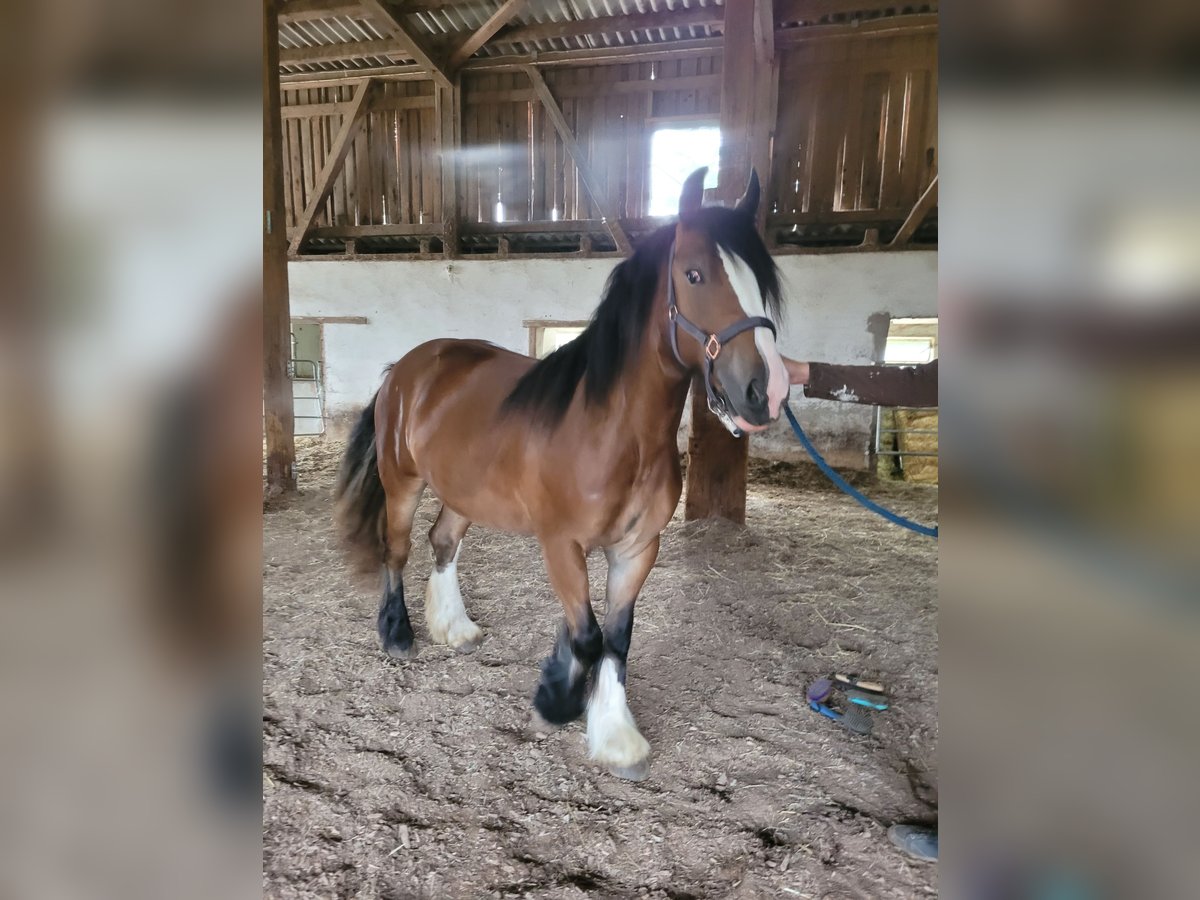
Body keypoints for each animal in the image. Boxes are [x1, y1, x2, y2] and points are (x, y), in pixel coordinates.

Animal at [338, 169, 787, 782]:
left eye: (763, 280)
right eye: (694, 274)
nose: (767, 391)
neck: (614, 432)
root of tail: (403, 370)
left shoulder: (637, 548)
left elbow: (617, 638)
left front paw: (617, 737)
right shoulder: (562, 544)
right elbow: (588, 635)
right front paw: (557, 697)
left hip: (463, 492)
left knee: (443, 541)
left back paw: (455, 628)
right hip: (402, 482)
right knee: (398, 549)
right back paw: (399, 635)